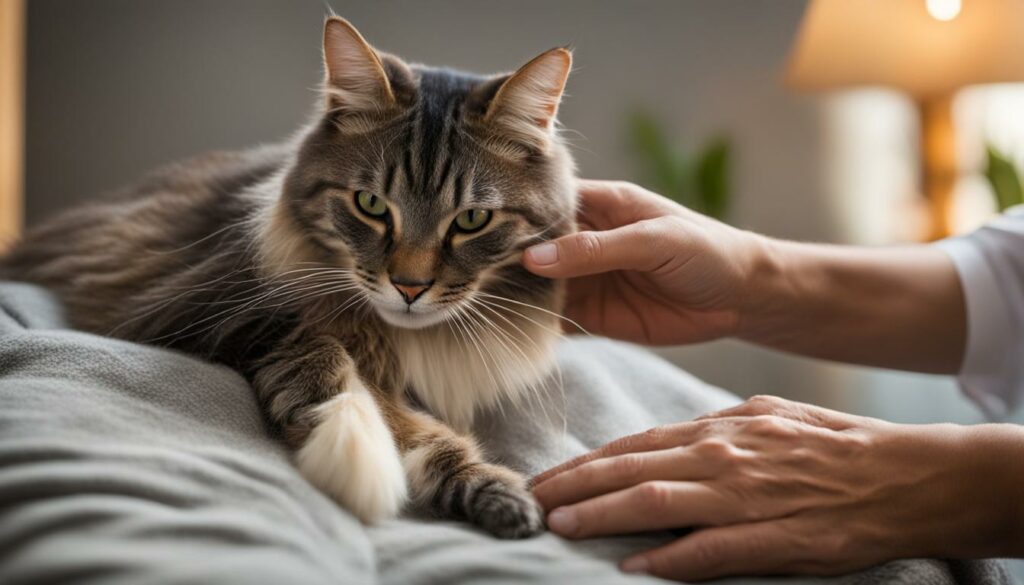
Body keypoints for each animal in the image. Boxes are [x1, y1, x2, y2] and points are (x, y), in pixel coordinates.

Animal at [0, 17, 577, 540]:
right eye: (370, 205)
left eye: (472, 220)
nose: (409, 289)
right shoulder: (216, 315)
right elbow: (348, 379)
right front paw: (356, 453)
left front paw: (501, 499)